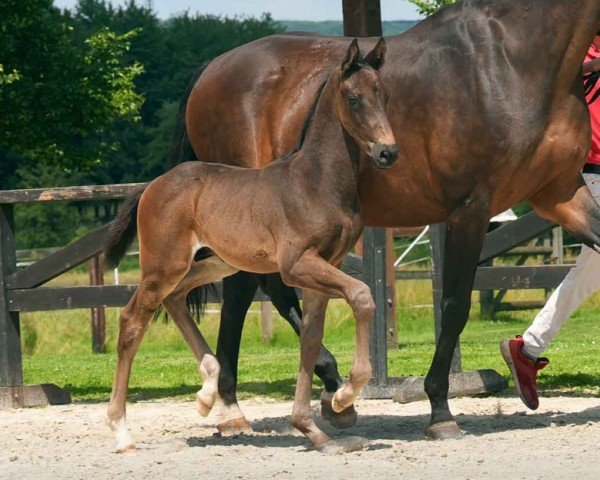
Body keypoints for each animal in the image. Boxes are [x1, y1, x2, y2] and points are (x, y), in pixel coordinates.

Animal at [104, 37, 398, 454]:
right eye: (354, 98)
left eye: (384, 95)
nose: (388, 152)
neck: (316, 181)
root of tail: (153, 185)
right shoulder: (297, 265)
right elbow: (362, 295)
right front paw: (343, 397)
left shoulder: (323, 268)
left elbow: (310, 340)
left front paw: (313, 429)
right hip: (163, 265)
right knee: (132, 320)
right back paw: (122, 430)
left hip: (216, 262)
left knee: (175, 298)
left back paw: (207, 391)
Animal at [176, 0, 600, 440]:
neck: (514, 58)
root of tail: (211, 69)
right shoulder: (470, 209)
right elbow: (454, 306)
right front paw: (439, 409)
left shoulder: (559, 195)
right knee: (246, 294)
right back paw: (246, 404)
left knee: (260, 291)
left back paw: (318, 392)